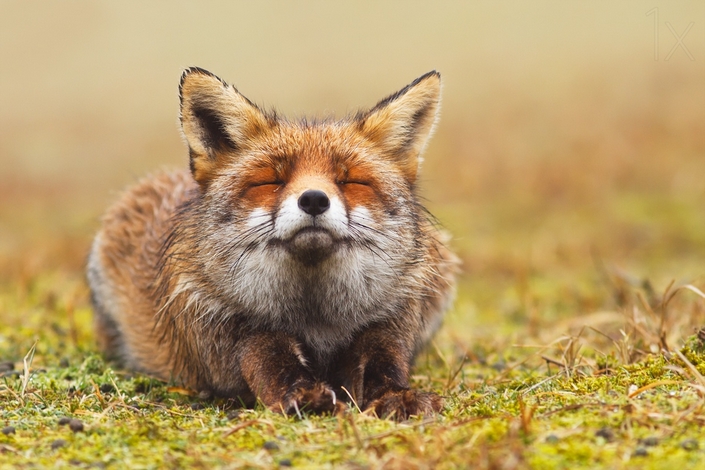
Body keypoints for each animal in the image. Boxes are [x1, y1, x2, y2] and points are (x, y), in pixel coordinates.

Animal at [87, 67, 458, 419]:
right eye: (271, 181)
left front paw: (396, 396)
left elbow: (381, 368)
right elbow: (271, 360)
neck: (315, 317)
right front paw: (304, 395)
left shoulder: (388, 323)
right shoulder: (229, 327)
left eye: (350, 181)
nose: (313, 200)